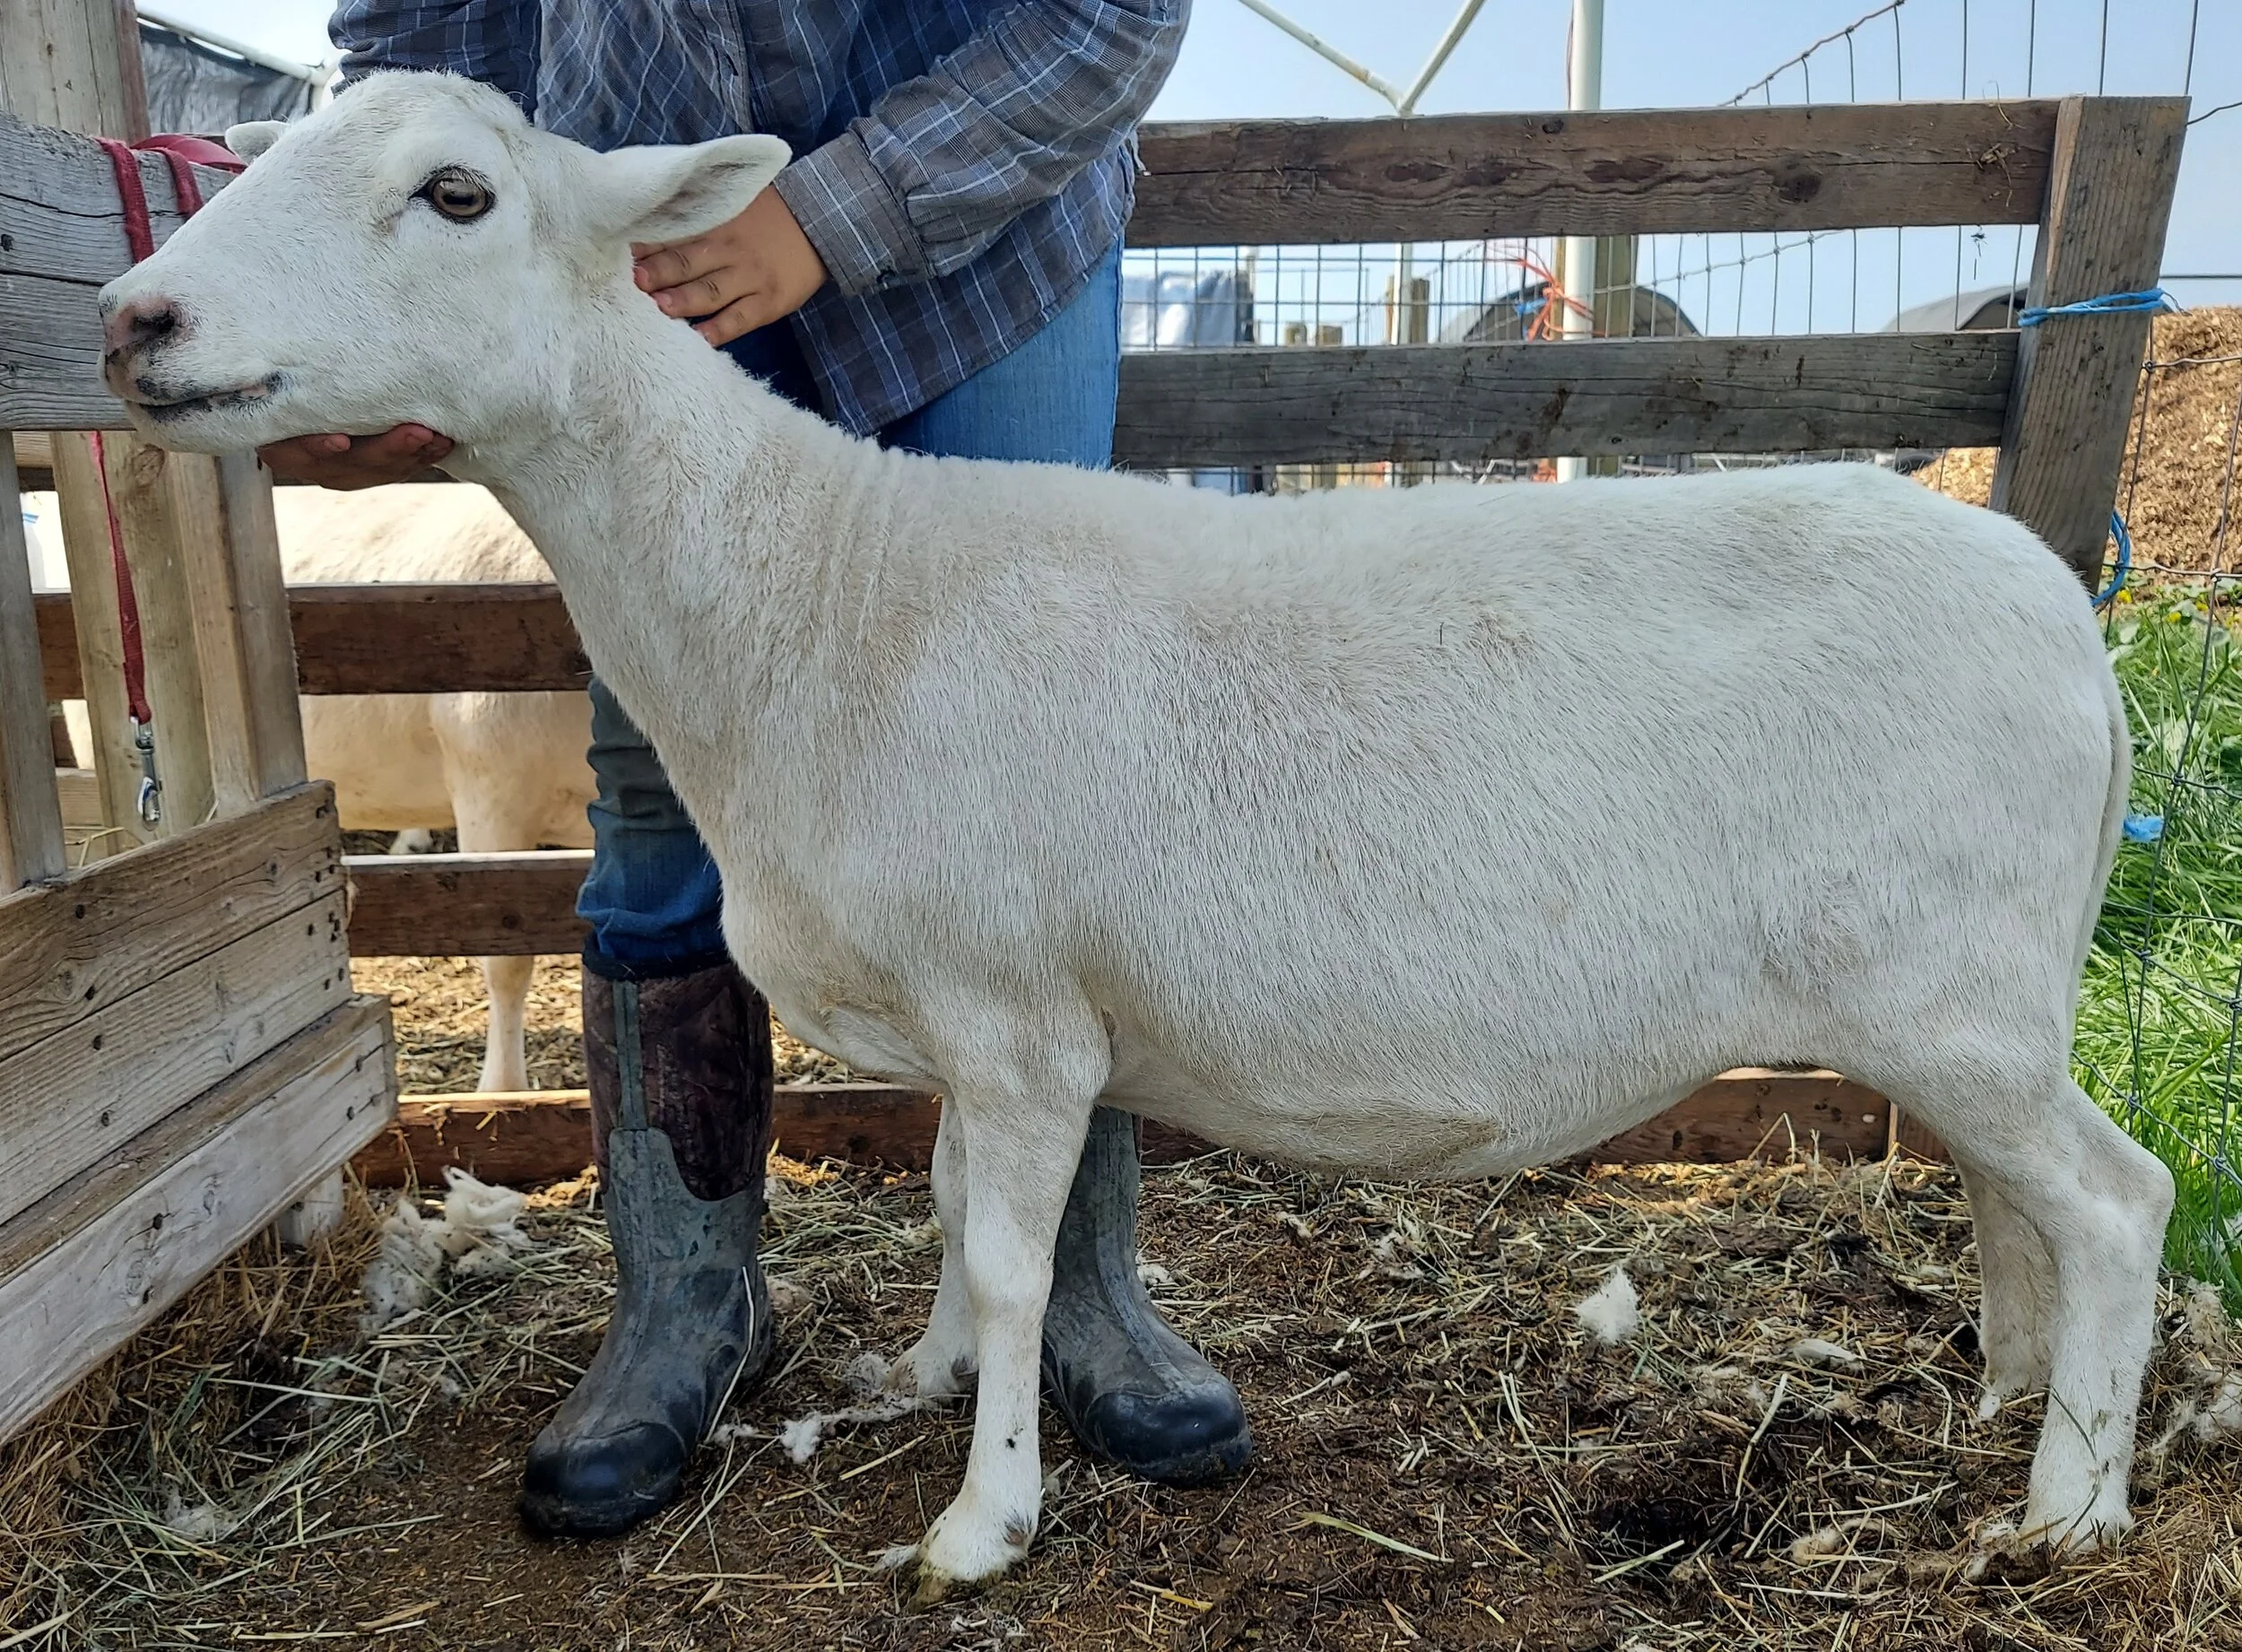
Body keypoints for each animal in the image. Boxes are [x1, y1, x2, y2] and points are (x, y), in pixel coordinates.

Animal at [99, 72, 2173, 1596]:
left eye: (459, 195)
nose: (135, 319)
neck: (813, 587)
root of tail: (2068, 615)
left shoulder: (1020, 1010)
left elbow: (1027, 1262)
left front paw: (980, 1519)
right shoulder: (979, 1017)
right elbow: (950, 1206)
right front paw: (922, 1376)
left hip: (1946, 985)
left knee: (2116, 1199)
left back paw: (2068, 1506)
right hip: (1968, 1000)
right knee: (2023, 1200)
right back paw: (2010, 1395)